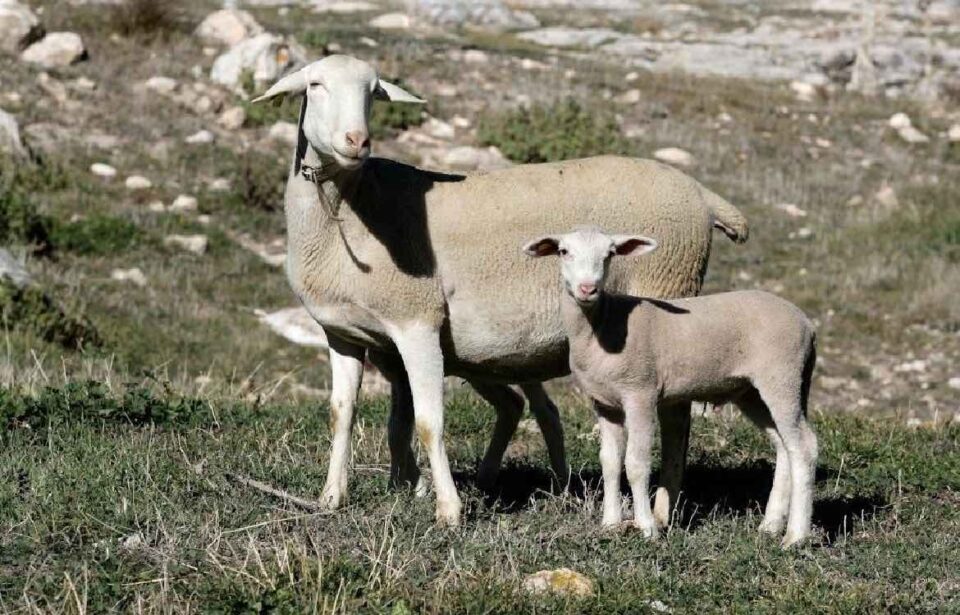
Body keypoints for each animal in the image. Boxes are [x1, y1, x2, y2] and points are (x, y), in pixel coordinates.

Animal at [253, 54, 752, 524]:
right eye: (316, 85)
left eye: (374, 92)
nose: (357, 141)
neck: (352, 205)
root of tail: (702, 194)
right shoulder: (344, 335)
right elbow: (342, 415)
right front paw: (331, 497)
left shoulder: (417, 321)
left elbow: (428, 421)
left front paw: (449, 509)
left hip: (669, 295)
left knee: (677, 417)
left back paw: (664, 510)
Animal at [524, 229, 816, 548]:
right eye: (564, 251)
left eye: (609, 254)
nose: (588, 288)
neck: (603, 323)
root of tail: (807, 323)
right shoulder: (604, 403)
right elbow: (610, 462)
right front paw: (610, 524)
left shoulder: (640, 393)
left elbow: (636, 464)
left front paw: (647, 527)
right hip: (752, 391)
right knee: (784, 446)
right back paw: (771, 525)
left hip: (782, 377)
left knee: (804, 446)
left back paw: (796, 535)